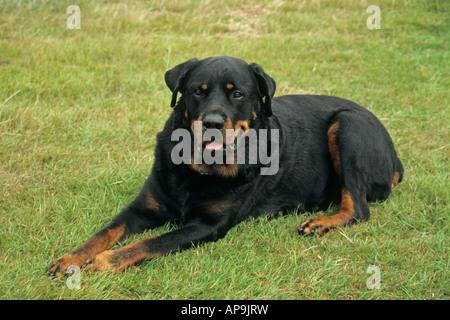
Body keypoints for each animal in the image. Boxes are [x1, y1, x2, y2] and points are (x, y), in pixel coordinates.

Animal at [47, 55, 402, 276]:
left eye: (238, 94)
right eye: (197, 92)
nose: (214, 122)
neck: (194, 171)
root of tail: (396, 157)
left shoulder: (208, 225)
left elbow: (151, 242)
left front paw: (105, 262)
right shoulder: (141, 208)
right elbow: (105, 232)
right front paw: (72, 258)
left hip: (348, 126)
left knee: (358, 208)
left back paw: (320, 223)